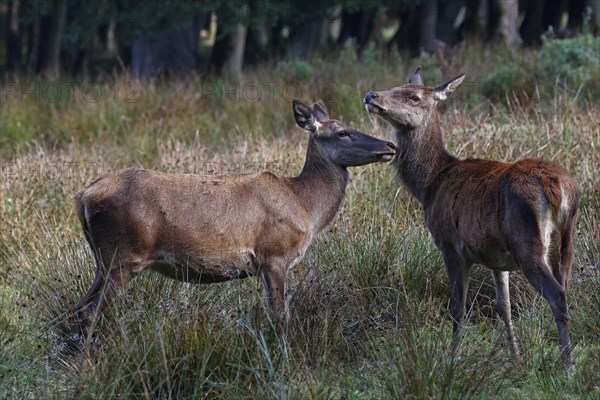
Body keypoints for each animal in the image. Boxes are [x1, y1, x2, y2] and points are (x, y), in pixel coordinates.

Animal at [74, 100, 394, 340]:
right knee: (89, 311)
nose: (390, 145)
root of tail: (84, 195)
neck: (305, 204)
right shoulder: (274, 253)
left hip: (104, 259)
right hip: (123, 255)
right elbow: (280, 316)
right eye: (343, 132)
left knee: (81, 306)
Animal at [364, 67, 580, 368]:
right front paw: (515, 357)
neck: (430, 185)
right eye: (395, 86)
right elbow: (504, 306)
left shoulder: (450, 245)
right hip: (566, 241)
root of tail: (559, 187)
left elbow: (458, 307)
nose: (371, 95)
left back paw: (567, 364)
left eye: (414, 96)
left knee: (557, 294)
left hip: (527, 242)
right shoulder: (496, 257)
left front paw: (452, 357)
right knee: (565, 287)